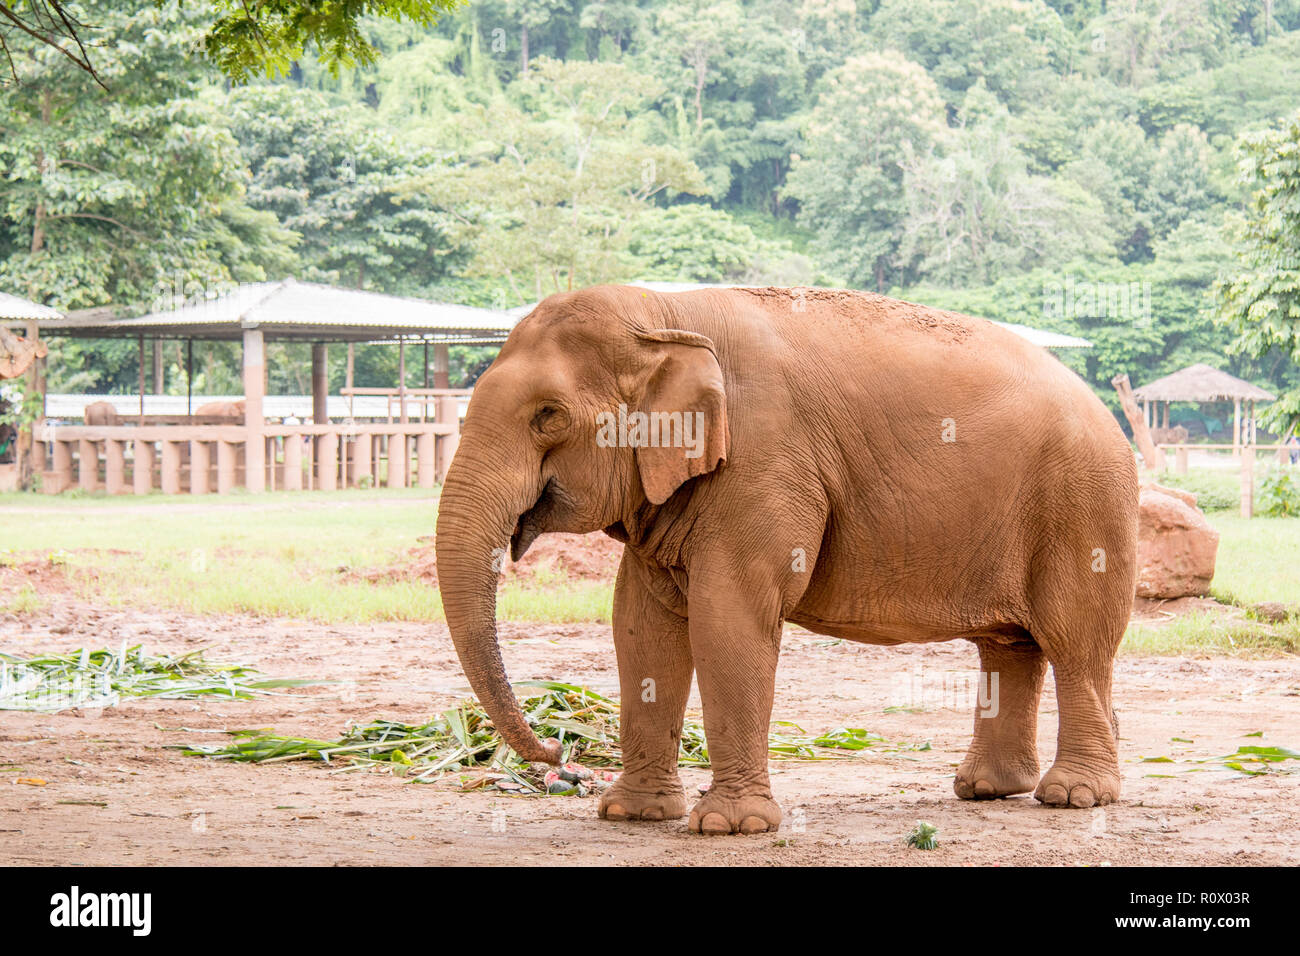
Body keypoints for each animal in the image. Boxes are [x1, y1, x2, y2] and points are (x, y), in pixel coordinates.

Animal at [436, 286, 1138, 837]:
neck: (667, 313)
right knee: (1011, 645)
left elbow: (728, 616)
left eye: (548, 416)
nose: (560, 754)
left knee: (1075, 643)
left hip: (1086, 507)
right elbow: (641, 626)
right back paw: (987, 789)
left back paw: (1074, 796)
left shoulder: (765, 461)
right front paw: (631, 815)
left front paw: (729, 827)